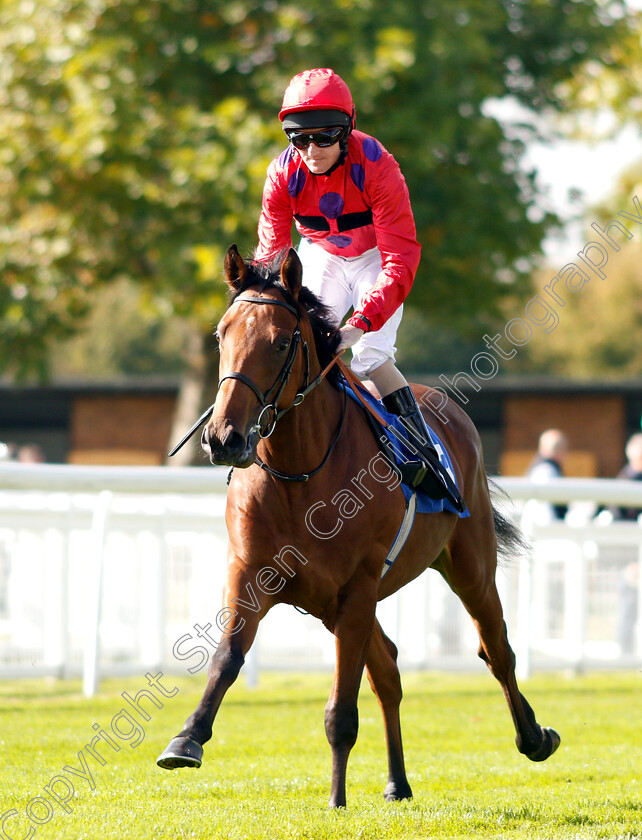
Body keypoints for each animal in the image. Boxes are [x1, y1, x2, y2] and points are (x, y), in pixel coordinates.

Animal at [158, 244, 556, 808]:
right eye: (221, 335)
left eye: (281, 342)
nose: (223, 438)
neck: (300, 471)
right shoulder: (250, 574)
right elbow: (227, 657)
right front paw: (187, 739)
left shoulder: (358, 586)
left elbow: (341, 709)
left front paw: (337, 799)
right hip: (330, 604)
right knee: (388, 669)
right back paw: (397, 781)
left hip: (468, 568)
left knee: (497, 651)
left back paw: (534, 737)